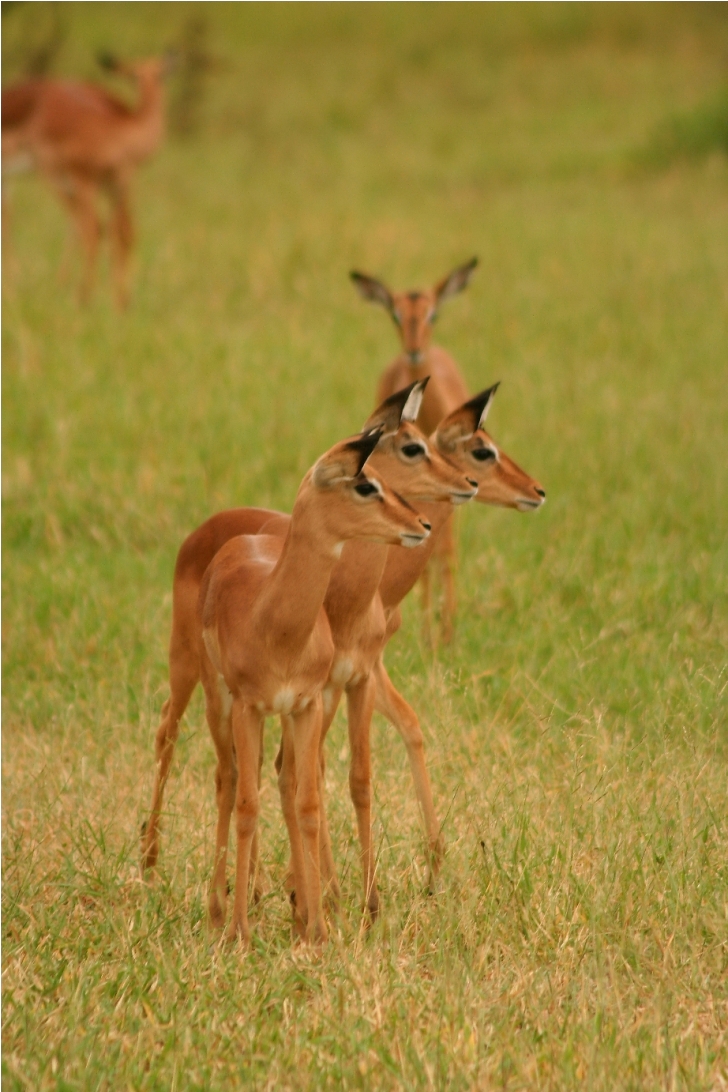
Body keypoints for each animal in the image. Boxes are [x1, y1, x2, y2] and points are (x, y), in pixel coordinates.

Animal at [350, 258, 479, 642]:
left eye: (433, 314)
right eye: (395, 315)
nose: (413, 350)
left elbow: (446, 552)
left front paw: (447, 636)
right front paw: (428, 636)